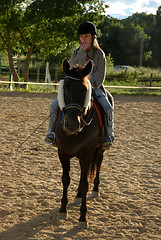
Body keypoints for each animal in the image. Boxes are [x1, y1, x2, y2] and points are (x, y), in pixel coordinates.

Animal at [54, 58, 105, 229]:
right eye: (66, 87)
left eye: (85, 89)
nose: (71, 124)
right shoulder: (63, 153)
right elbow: (66, 179)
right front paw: (63, 210)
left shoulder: (88, 154)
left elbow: (84, 184)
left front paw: (83, 218)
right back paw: (77, 196)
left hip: (99, 150)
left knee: (98, 164)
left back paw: (95, 189)